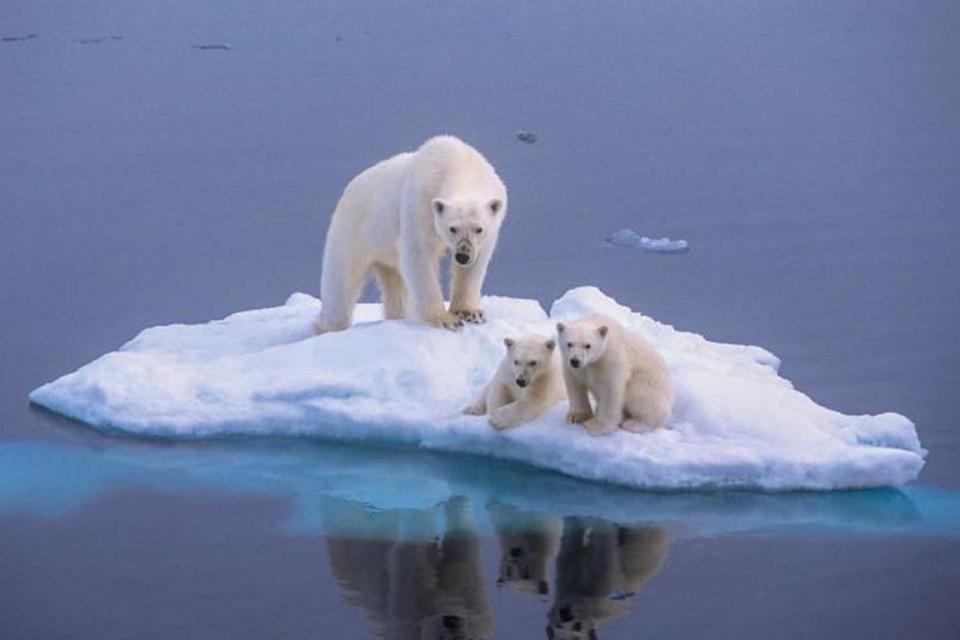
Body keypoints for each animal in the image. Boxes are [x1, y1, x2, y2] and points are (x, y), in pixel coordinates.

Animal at [316, 136, 510, 336]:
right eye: (452, 228)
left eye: (479, 229)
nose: (463, 256)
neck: (461, 166)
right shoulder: (420, 204)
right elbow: (419, 256)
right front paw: (446, 320)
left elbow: (474, 266)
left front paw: (470, 313)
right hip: (352, 231)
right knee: (340, 283)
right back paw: (326, 327)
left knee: (395, 286)